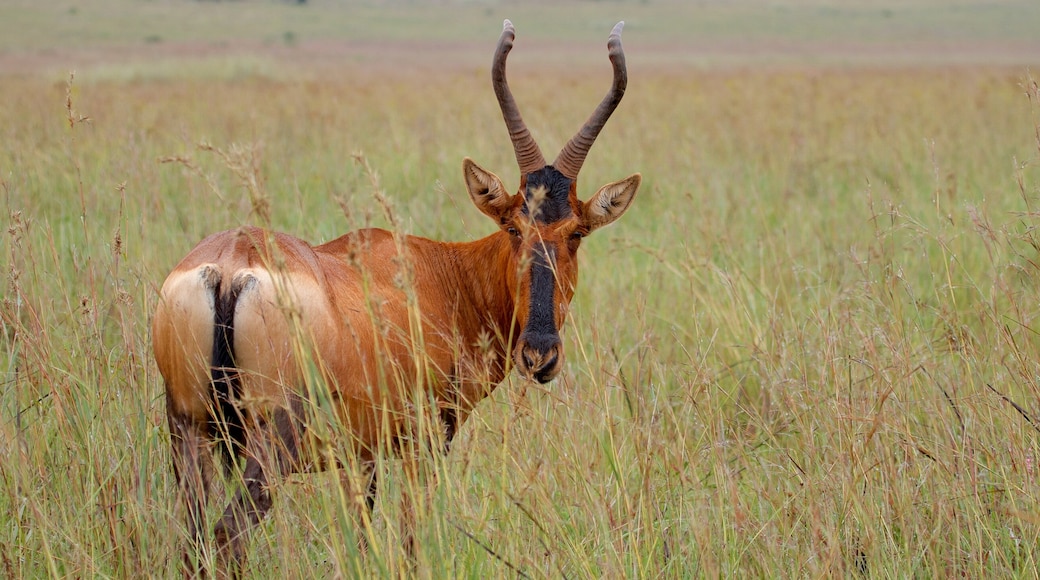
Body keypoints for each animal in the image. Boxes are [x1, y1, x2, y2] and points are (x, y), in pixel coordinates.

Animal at [151, 18, 640, 577]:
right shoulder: (423, 443)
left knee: (193, 540)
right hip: (272, 439)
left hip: (188, 428)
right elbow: (409, 536)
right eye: (514, 227)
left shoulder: (361, 456)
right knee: (227, 532)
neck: (437, 275)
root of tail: (232, 265)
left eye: (576, 231)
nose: (540, 353)